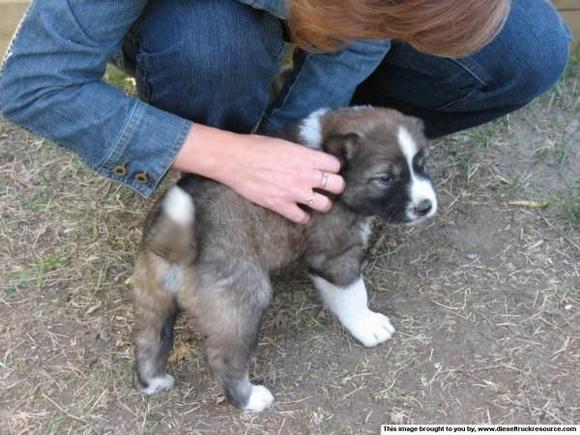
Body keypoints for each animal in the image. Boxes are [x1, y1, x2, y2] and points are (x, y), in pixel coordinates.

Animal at [130, 107, 436, 414]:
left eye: (422, 164)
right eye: (385, 178)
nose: (426, 206)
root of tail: (168, 240)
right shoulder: (337, 255)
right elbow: (353, 294)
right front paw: (369, 326)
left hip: (153, 296)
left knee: (149, 339)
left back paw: (155, 381)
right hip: (240, 301)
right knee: (222, 358)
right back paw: (250, 398)